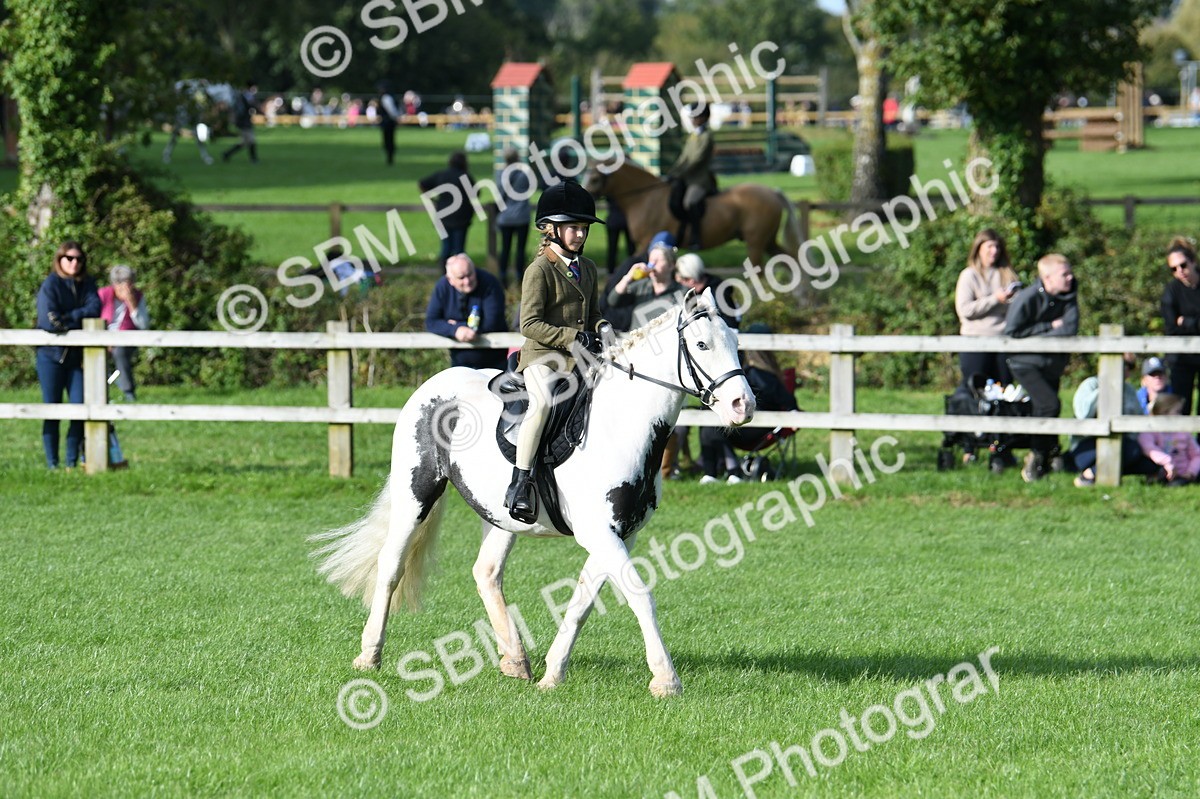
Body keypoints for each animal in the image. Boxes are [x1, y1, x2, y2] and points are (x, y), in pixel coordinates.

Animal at [311, 289, 755, 697]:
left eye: (735, 342)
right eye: (702, 345)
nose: (743, 405)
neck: (622, 426)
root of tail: (436, 383)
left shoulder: (619, 535)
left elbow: (581, 603)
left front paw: (552, 674)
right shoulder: (600, 533)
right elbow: (639, 595)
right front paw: (666, 680)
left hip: (501, 514)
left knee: (486, 573)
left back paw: (515, 660)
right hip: (416, 493)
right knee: (391, 565)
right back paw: (370, 655)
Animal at [584, 160, 803, 268]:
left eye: (594, 179)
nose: (586, 196)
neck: (645, 197)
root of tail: (772, 193)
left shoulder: (646, 243)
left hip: (755, 243)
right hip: (767, 241)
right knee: (791, 260)